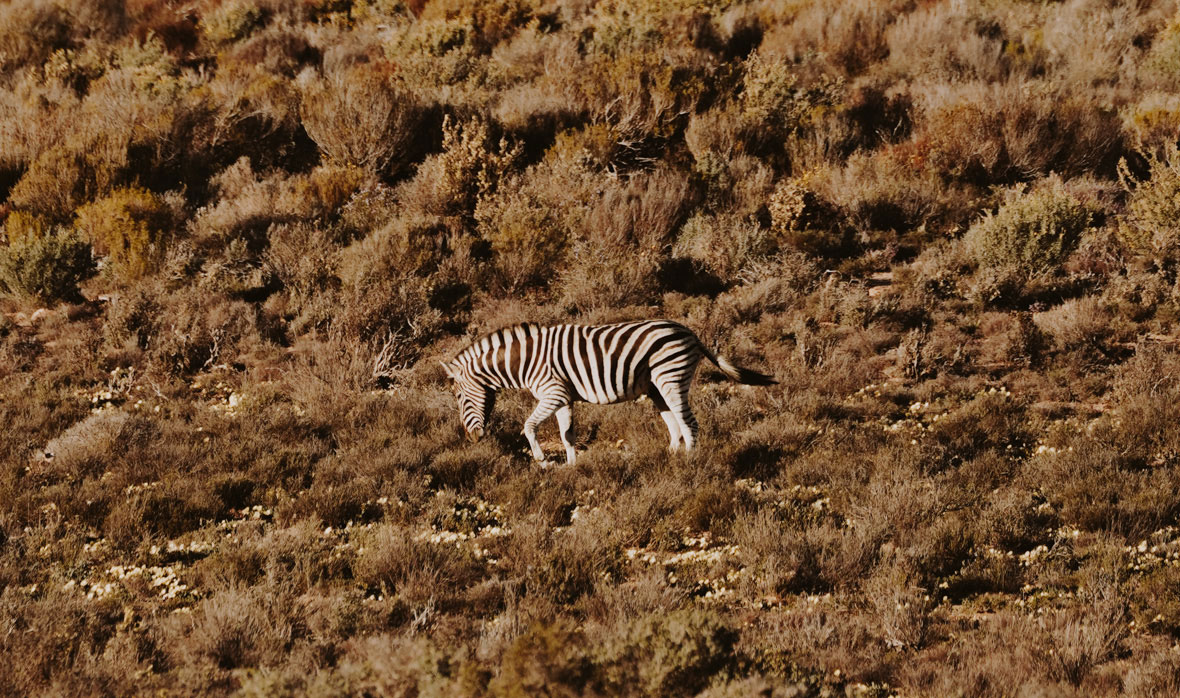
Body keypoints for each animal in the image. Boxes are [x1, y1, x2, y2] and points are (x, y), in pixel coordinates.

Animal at [440, 320, 776, 464]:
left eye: (458, 397)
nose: (472, 438)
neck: (524, 361)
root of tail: (690, 331)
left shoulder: (552, 393)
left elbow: (529, 426)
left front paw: (542, 460)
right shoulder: (564, 397)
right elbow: (567, 434)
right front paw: (572, 466)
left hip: (671, 377)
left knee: (689, 423)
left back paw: (688, 464)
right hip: (656, 386)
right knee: (675, 424)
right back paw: (669, 457)